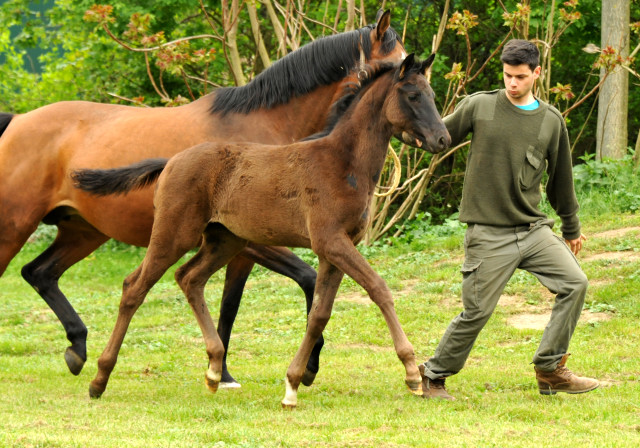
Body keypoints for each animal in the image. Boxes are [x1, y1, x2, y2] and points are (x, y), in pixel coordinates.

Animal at [72, 54, 450, 408]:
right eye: (413, 95)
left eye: (432, 94)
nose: (442, 138)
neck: (342, 164)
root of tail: (172, 161)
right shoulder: (331, 241)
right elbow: (379, 288)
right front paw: (412, 373)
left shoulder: (334, 249)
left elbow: (319, 314)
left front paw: (293, 384)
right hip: (174, 234)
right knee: (134, 288)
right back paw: (98, 379)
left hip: (225, 240)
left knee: (188, 278)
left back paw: (214, 370)